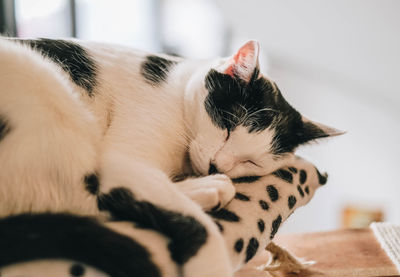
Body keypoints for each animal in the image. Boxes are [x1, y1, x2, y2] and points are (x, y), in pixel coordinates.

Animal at [0, 37, 340, 276]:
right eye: (228, 126)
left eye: (252, 162)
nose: (217, 165)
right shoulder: (122, 159)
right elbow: (200, 227)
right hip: (47, 92)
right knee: (86, 200)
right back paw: (209, 188)